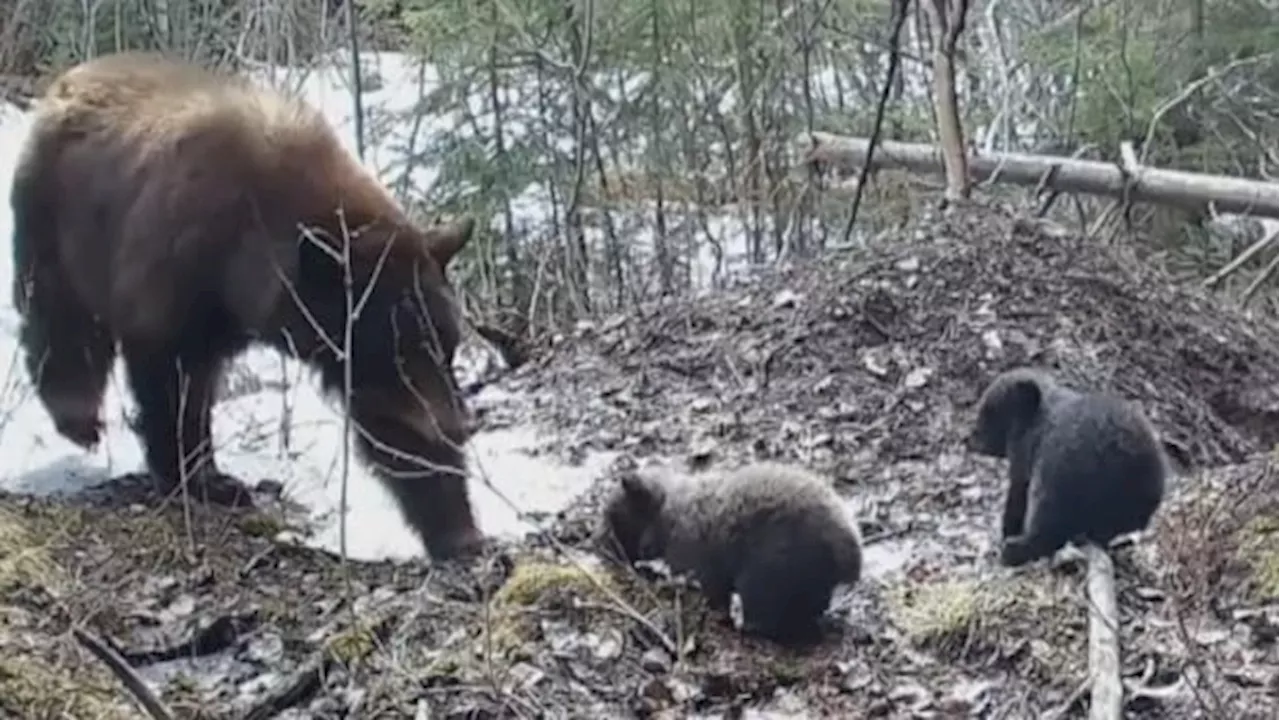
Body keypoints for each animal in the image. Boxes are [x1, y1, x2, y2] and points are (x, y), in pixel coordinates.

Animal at [10, 53, 483, 558]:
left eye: (448, 342)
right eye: (402, 346)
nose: (458, 423)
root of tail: (70, 77)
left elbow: (393, 423)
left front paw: (456, 527)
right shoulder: (177, 270)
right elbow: (170, 382)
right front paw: (193, 477)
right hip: (58, 220)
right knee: (61, 318)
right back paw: (77, 417)